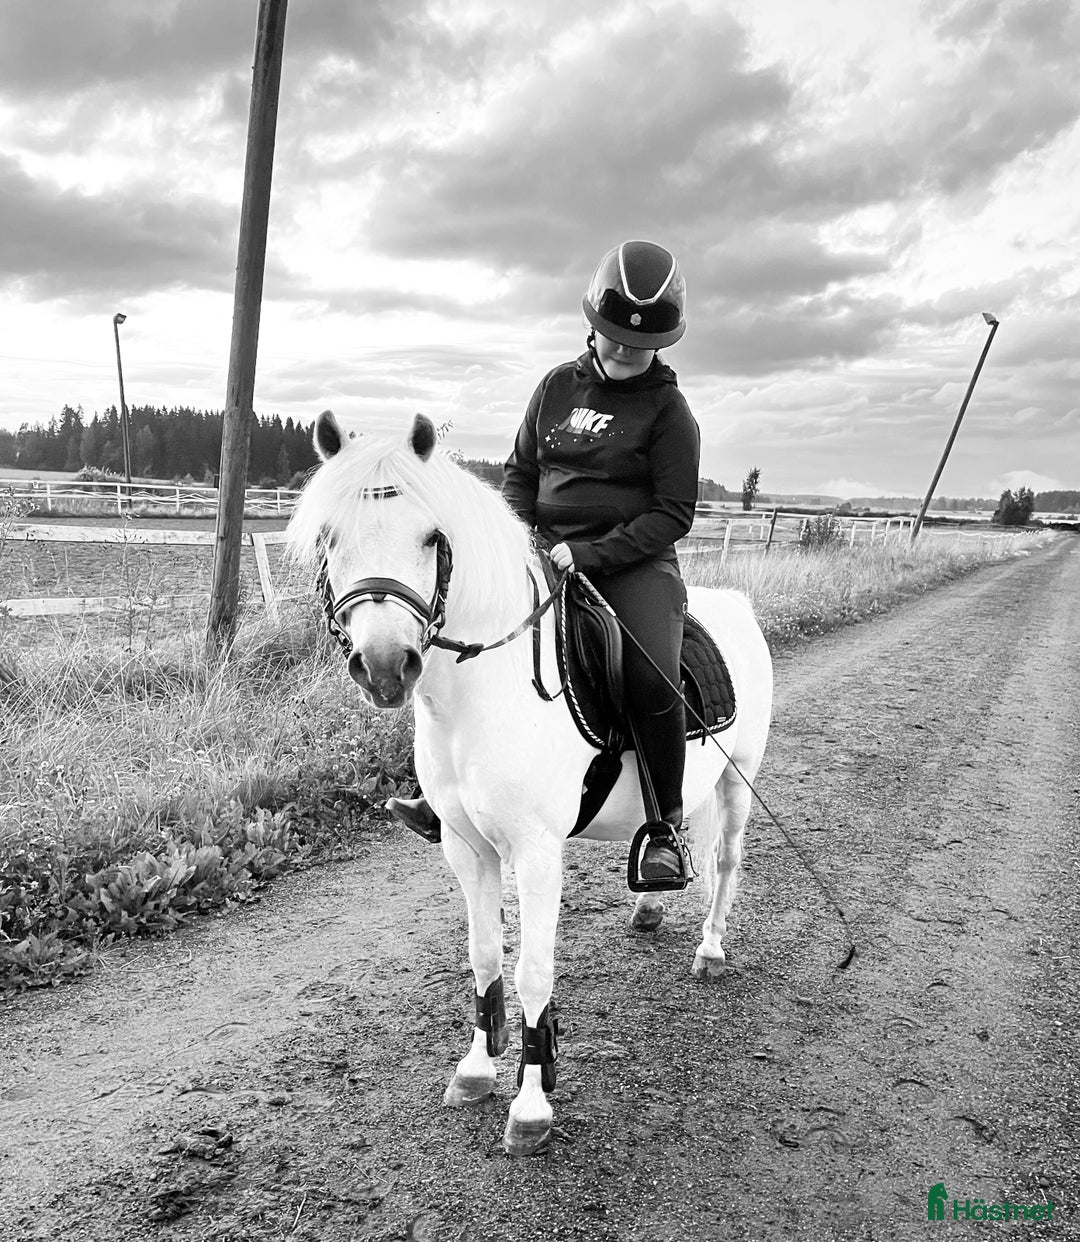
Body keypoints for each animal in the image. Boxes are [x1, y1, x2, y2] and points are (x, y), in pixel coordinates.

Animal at [287, 409, 773, 1156]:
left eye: (432, 537)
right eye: (330, 537)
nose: (386, 665)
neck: (481, 694)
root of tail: (736, 608)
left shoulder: (537, 853)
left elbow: (531, 970)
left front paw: (532, 1104)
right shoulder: (465, 847)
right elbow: (484, 955)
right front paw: (476, 1069)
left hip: (739, 784)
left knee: (725, 862)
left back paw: (711, 948)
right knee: (671, 830)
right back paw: (650, 899)